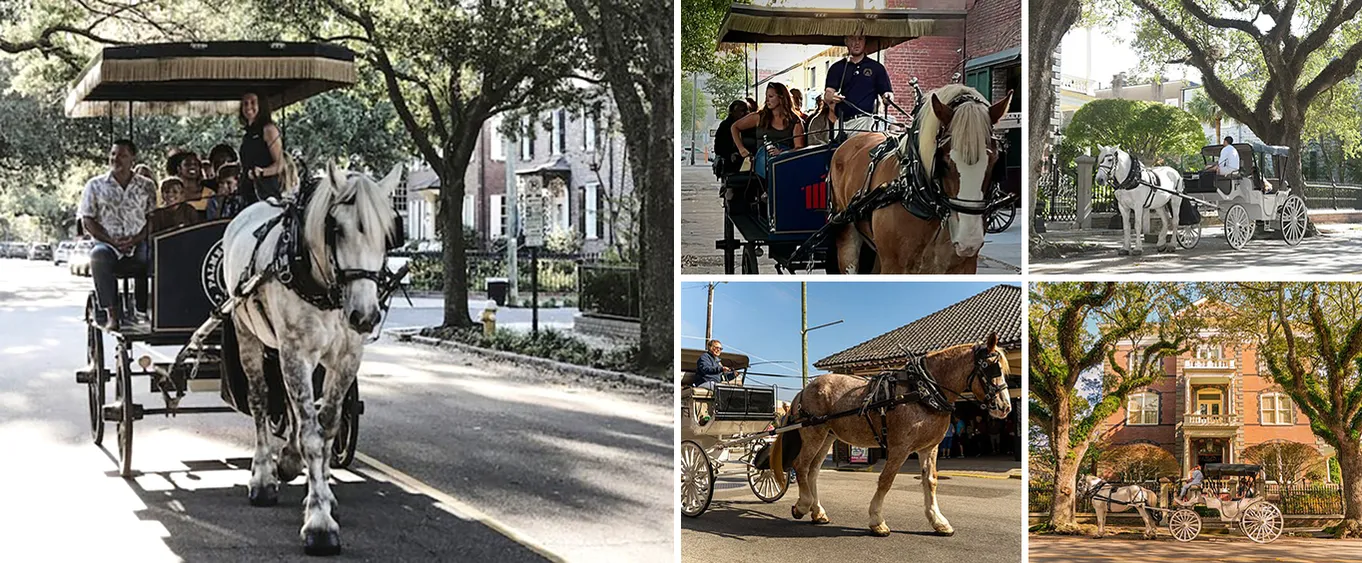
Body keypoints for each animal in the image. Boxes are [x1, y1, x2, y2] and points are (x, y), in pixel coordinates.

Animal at [222, 162, 397, 553]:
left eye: (387, 232)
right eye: (337, 228)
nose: (365, 315)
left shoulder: (347, 355)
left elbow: (326, 424)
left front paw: (324, 494)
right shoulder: (295, 352)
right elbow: (312, 435)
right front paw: (319, 523)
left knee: (292, 406)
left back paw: (289, 460)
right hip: (247, 333)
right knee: (260, 401)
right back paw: (263, 477)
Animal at [779, 333, 1013, 534]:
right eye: (991, 368)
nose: (1005, 407)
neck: (923, 391)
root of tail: (805, 390)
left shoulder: (929, 447)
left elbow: (930, 481)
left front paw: (938, 521)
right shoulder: (900, 447)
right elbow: (886, 480)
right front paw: (877, 520)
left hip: (827, 436)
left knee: (813, 471)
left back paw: (817, 512)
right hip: (813, 433)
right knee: (801, 466)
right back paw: (803, 505)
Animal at [817, 84, 1013, 272]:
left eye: (995, 162)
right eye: (944, 162)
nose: (969, 239)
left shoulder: (964, 266)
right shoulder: (894, 266)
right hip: (846, 233)